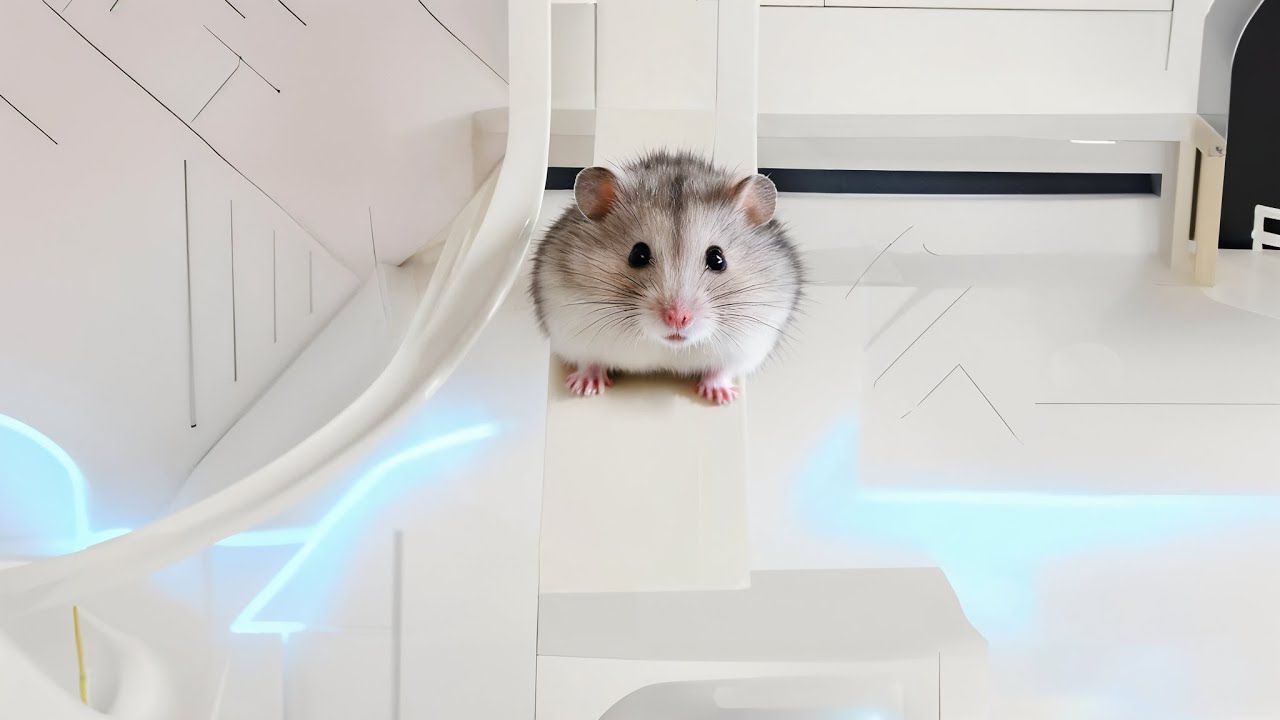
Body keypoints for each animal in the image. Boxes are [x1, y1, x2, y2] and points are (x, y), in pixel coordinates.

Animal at [530, 150, 805, 405]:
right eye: (637, 254)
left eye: (718, 259)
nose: (678, 318)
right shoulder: (569, 328)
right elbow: (588, 361)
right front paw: (584, 389)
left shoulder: (751, 344)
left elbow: (722, 370)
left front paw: (722, 397)